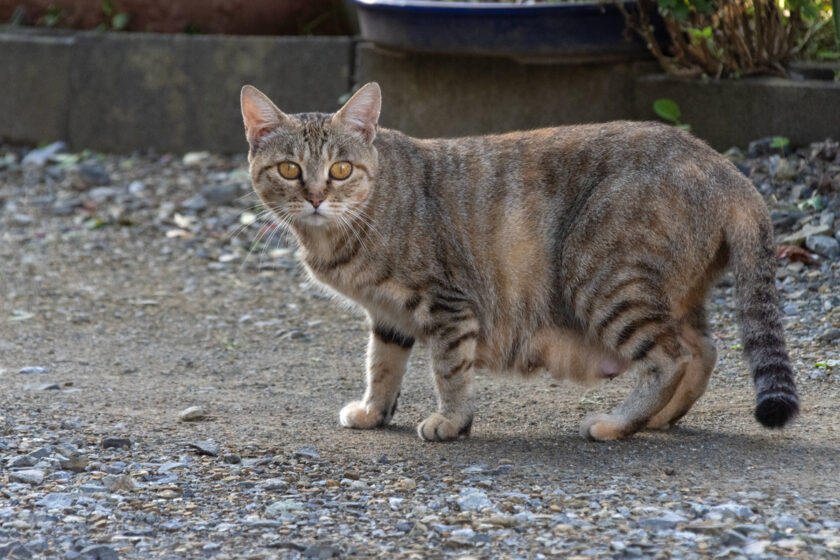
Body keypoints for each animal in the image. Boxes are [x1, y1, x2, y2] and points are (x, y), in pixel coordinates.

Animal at [240, 83, 796, 442]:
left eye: (340, 170)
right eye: (289, 169)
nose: (314, 197)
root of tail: (725, 167)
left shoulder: (449, 302)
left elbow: (449, 369)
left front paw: (451, 421)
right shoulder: (386, 314)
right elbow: (382, 366)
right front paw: (374, 412)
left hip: (600, 277)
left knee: (670, 357)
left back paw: (616, 424)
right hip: (671, 293)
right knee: (705, 349)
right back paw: (656, 420)